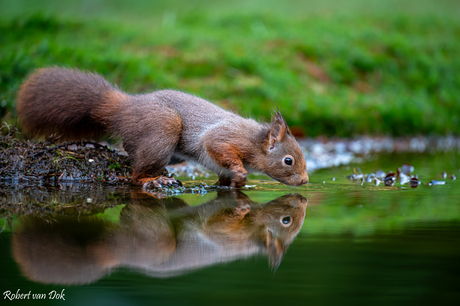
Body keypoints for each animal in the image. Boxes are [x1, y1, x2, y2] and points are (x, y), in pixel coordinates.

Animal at [16, 67, 310, 186]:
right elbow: (218, 146)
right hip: (163, 128)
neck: (256, 142)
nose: (306, 181)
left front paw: (236, 185)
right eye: (288, 161)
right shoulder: (227, 137)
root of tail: (125, 108)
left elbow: (224, 180)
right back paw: (153, 180)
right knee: (135, 176)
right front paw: (240, 171)